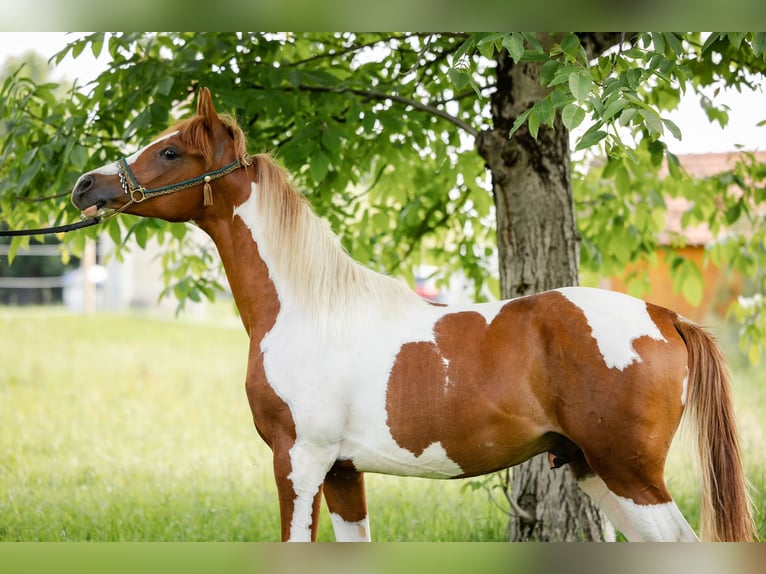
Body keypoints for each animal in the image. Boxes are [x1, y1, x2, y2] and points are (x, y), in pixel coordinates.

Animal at [70, 88, 756, 544]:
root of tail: (665, 317)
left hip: (629, 474)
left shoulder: (299, 462)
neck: (307, 310)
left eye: (170, 152)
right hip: (594, 470)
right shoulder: (342, 473)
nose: (84, 187)